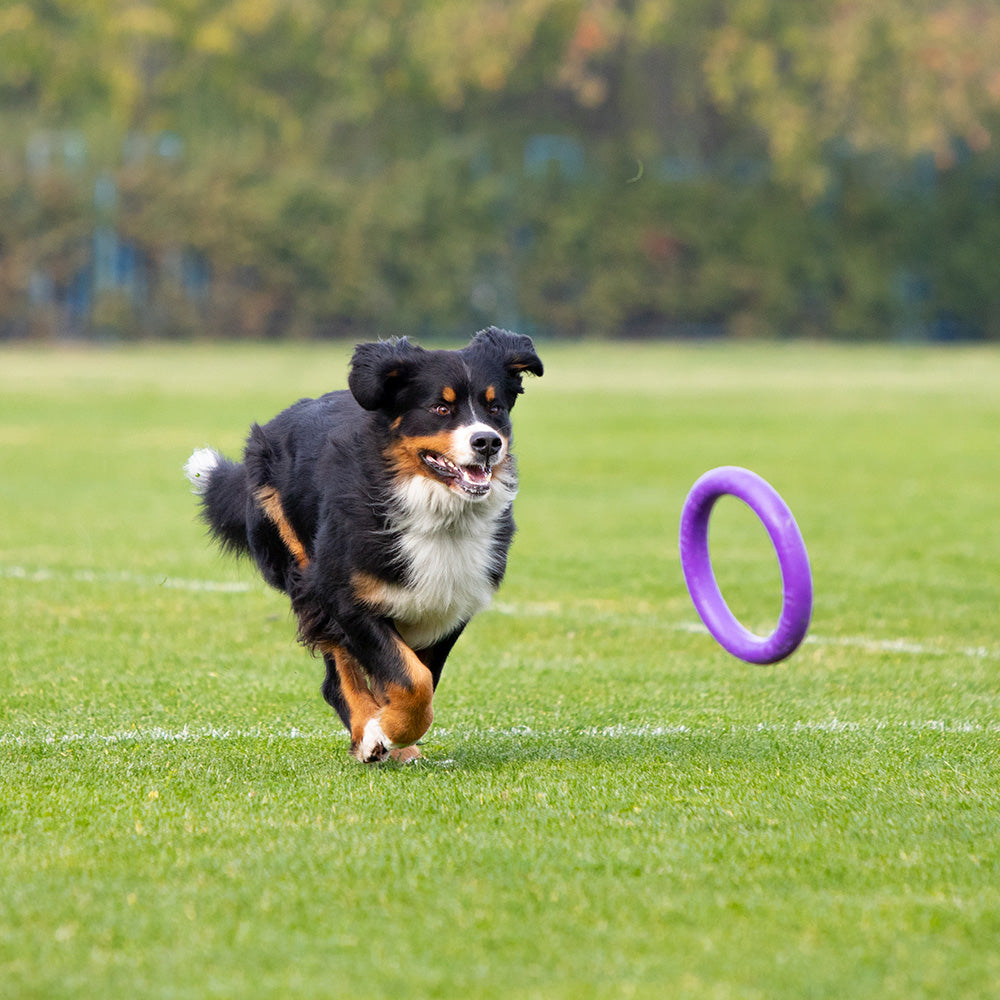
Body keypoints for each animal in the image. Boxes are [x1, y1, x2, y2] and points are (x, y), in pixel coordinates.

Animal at [184, 324, 544, 760]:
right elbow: (412, 680)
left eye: (495, 409)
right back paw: (367, 730)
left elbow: (418, 678)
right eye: (440, 409)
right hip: (305, 573)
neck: (436, 512)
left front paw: (395, 732)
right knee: (338, 673)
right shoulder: (345, 596)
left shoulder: (450, 604)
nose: (487, 442)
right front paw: (383, 731)